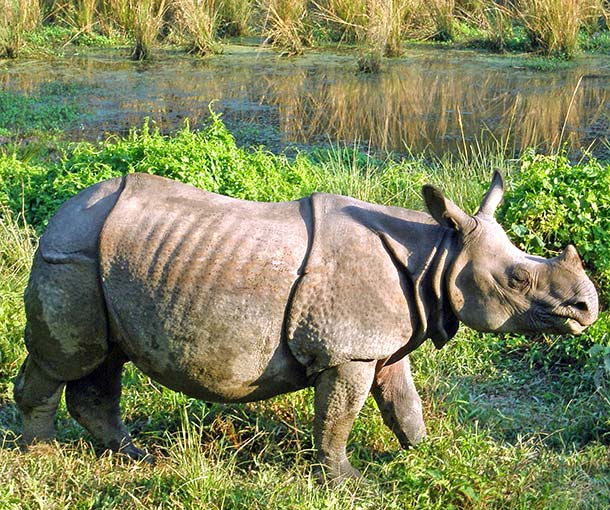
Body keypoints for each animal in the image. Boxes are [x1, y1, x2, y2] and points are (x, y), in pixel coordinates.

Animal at [13, 170, 592, 482]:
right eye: (518, 278)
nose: (587, 308)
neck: (437, 254)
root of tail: (59, 214)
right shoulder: (349, 351)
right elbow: (337, 419)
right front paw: (348, 482)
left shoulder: (381, 344)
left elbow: (405, 405)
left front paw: (428, 457)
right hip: (72, 254)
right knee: (66, 359)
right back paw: (41, 457)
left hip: (100, 256)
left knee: (104, 359)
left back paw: (133, 456)